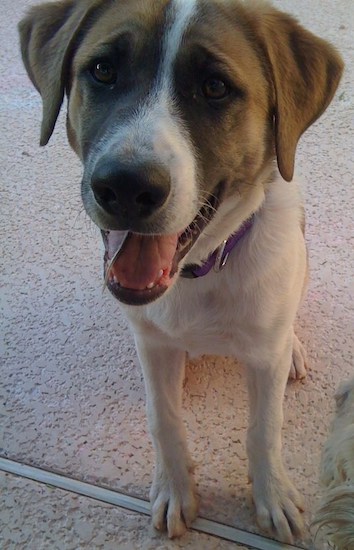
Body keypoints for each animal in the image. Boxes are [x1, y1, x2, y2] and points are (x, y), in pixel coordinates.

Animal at [18, 0, 342, 544]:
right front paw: (175, 488)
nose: (126, 187)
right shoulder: (151, 342)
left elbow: (264, 427)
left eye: (215, 87)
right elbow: (162, 418)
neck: (201, 271)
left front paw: (271, 495)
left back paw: (294, 347)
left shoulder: (263, 360)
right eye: (102, 70)